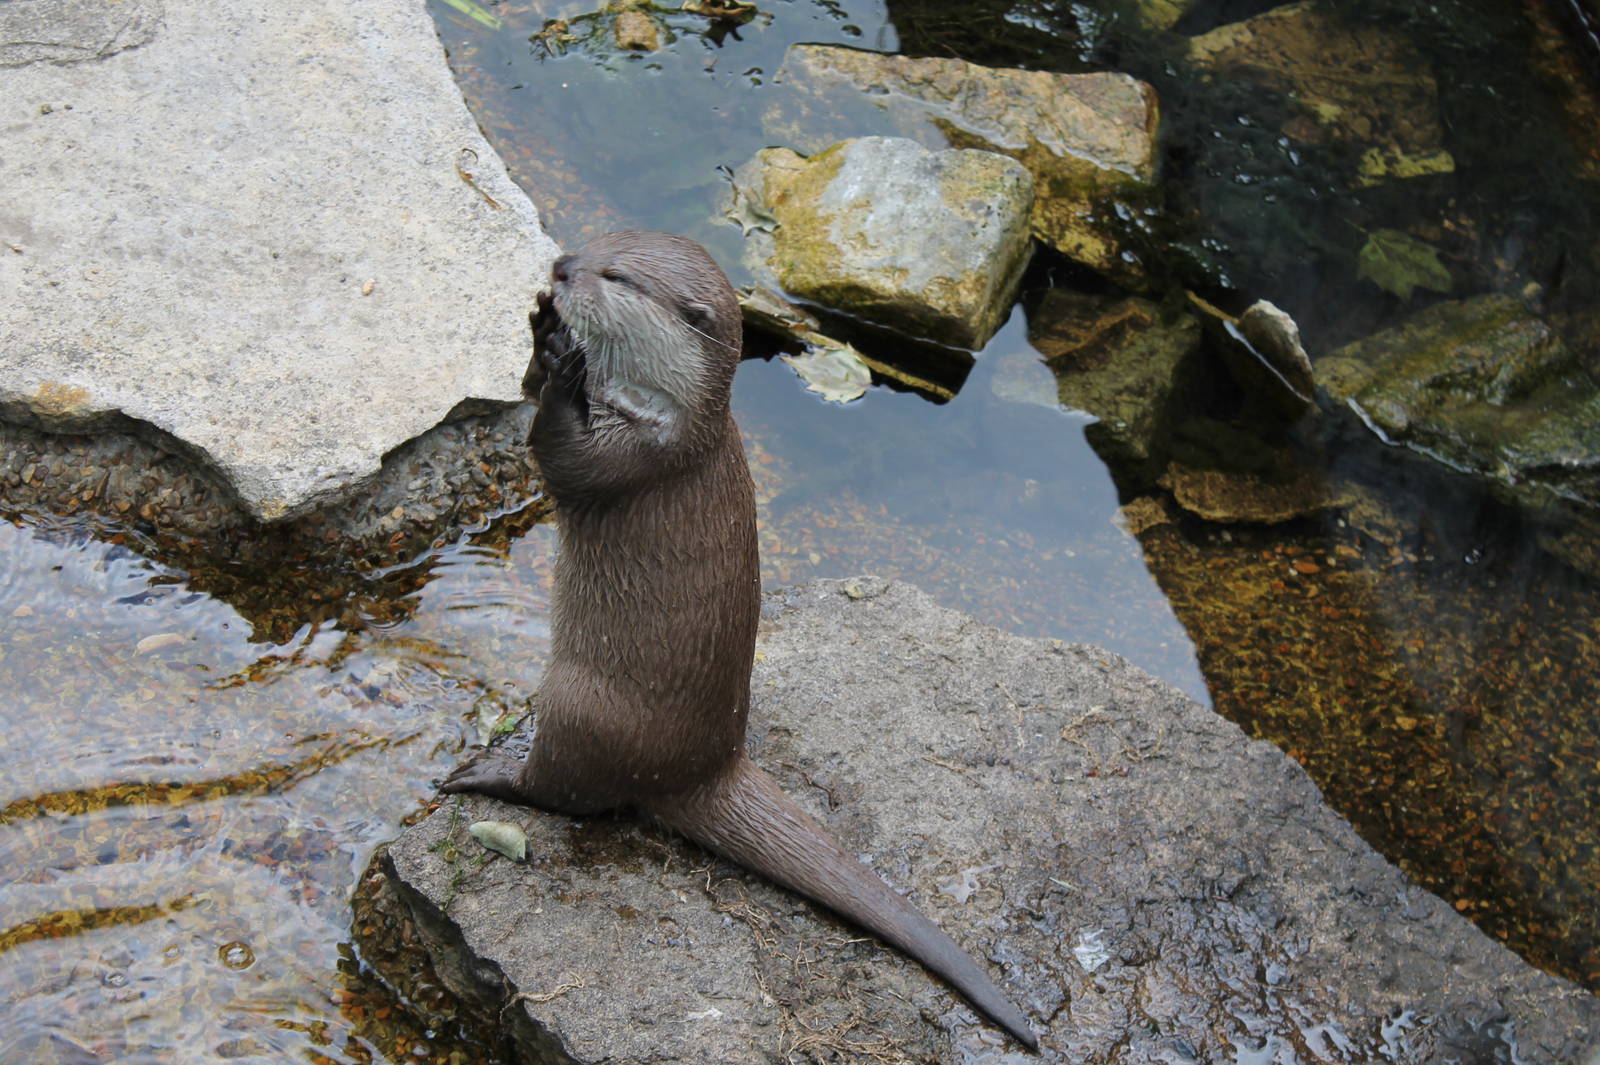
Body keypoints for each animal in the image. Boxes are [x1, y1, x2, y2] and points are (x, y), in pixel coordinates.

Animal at [442, 231, 1037, 1050]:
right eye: (598, 245)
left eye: (616, 275)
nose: (561, 267)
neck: (668, 417)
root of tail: (707, 765)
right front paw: (540, 332)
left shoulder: (644, 457)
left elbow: (564, 459)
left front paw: (561, 359)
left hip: (578, 700)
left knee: (567, 794)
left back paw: (487, 771)